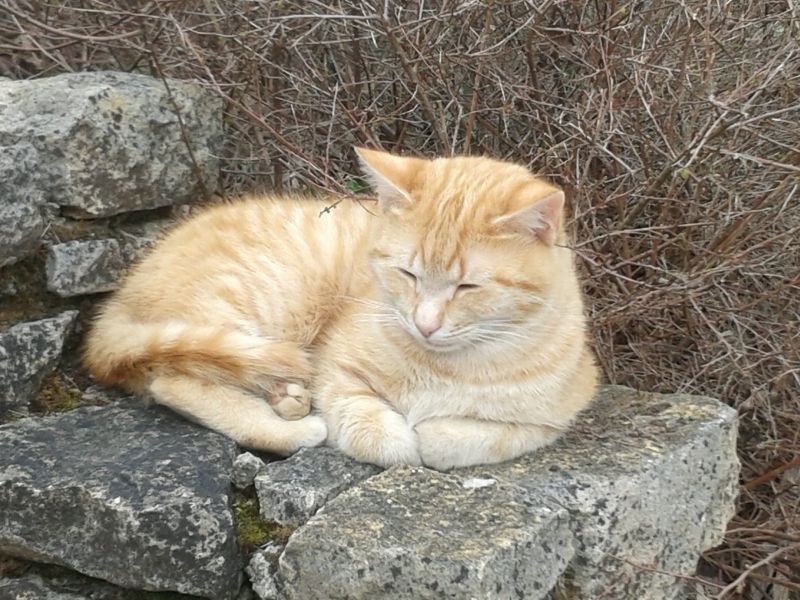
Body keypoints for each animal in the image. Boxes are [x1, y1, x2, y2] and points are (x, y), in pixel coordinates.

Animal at [84, 149, 596, 468]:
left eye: (468, 286)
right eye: (408, 274)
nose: (425, 324)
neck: (443, 365)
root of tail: (122, 295)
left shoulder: (553, 416)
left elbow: (473, 436)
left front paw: (434, 432)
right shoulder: (336, 373)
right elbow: (374, 428)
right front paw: (399, 437)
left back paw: (286, 396)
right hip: (267, 299)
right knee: (174, 381)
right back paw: (293, 427)